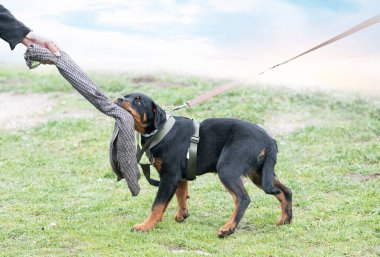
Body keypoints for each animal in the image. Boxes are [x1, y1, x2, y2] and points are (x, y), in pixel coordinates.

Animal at [116, 91, 294, 236]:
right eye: (126, 96)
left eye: (138, 101)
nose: (119, 99)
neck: (161, 130)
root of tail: (269, 140)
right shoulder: (180, 176)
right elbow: (181, 195)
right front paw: (182, 215)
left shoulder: (170, 176)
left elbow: (157, 205)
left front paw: (145, 226)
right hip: (259, 173)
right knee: (285, 192)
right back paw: (285, 220)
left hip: (227, 169)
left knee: (243, 198)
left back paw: (228, 228)